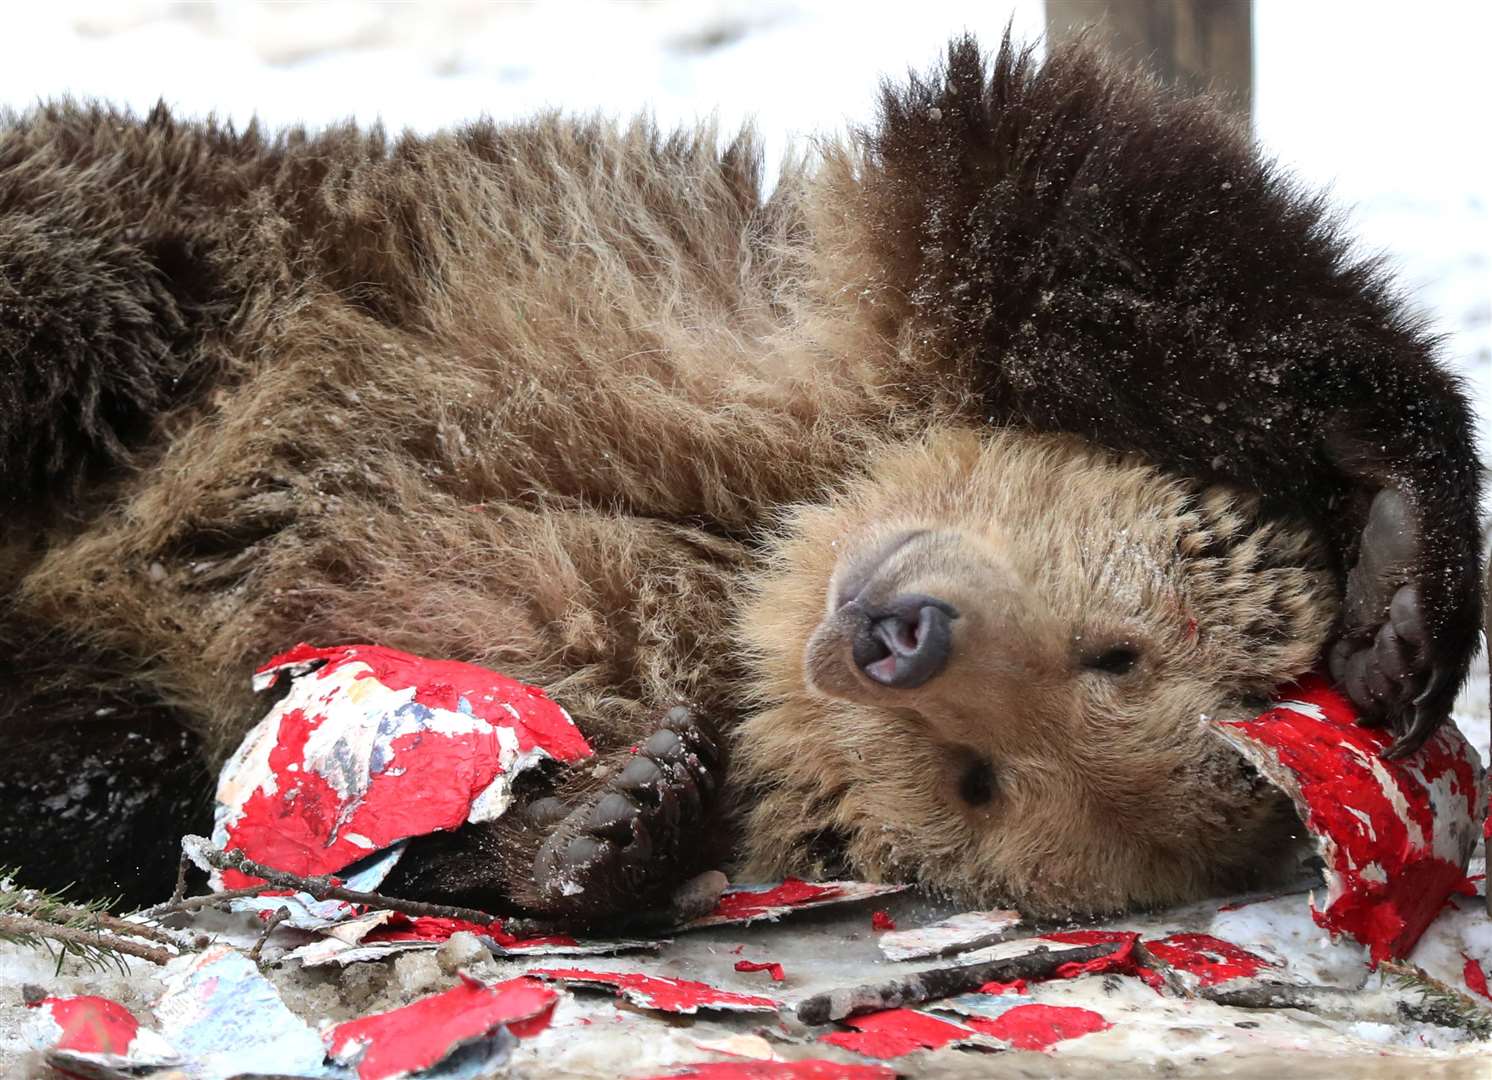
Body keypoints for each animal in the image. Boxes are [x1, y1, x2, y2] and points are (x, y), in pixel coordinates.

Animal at [0, 33, 1474, 918]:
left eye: (981, 779)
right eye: (1117, 648)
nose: (896, 632)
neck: (764, 542)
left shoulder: (529, 624)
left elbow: (300, 753)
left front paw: (603, 821)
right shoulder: (780, 313)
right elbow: (1076, 208)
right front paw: (1403, 564)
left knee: (103, 764)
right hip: (160, 257)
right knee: (79, 287)